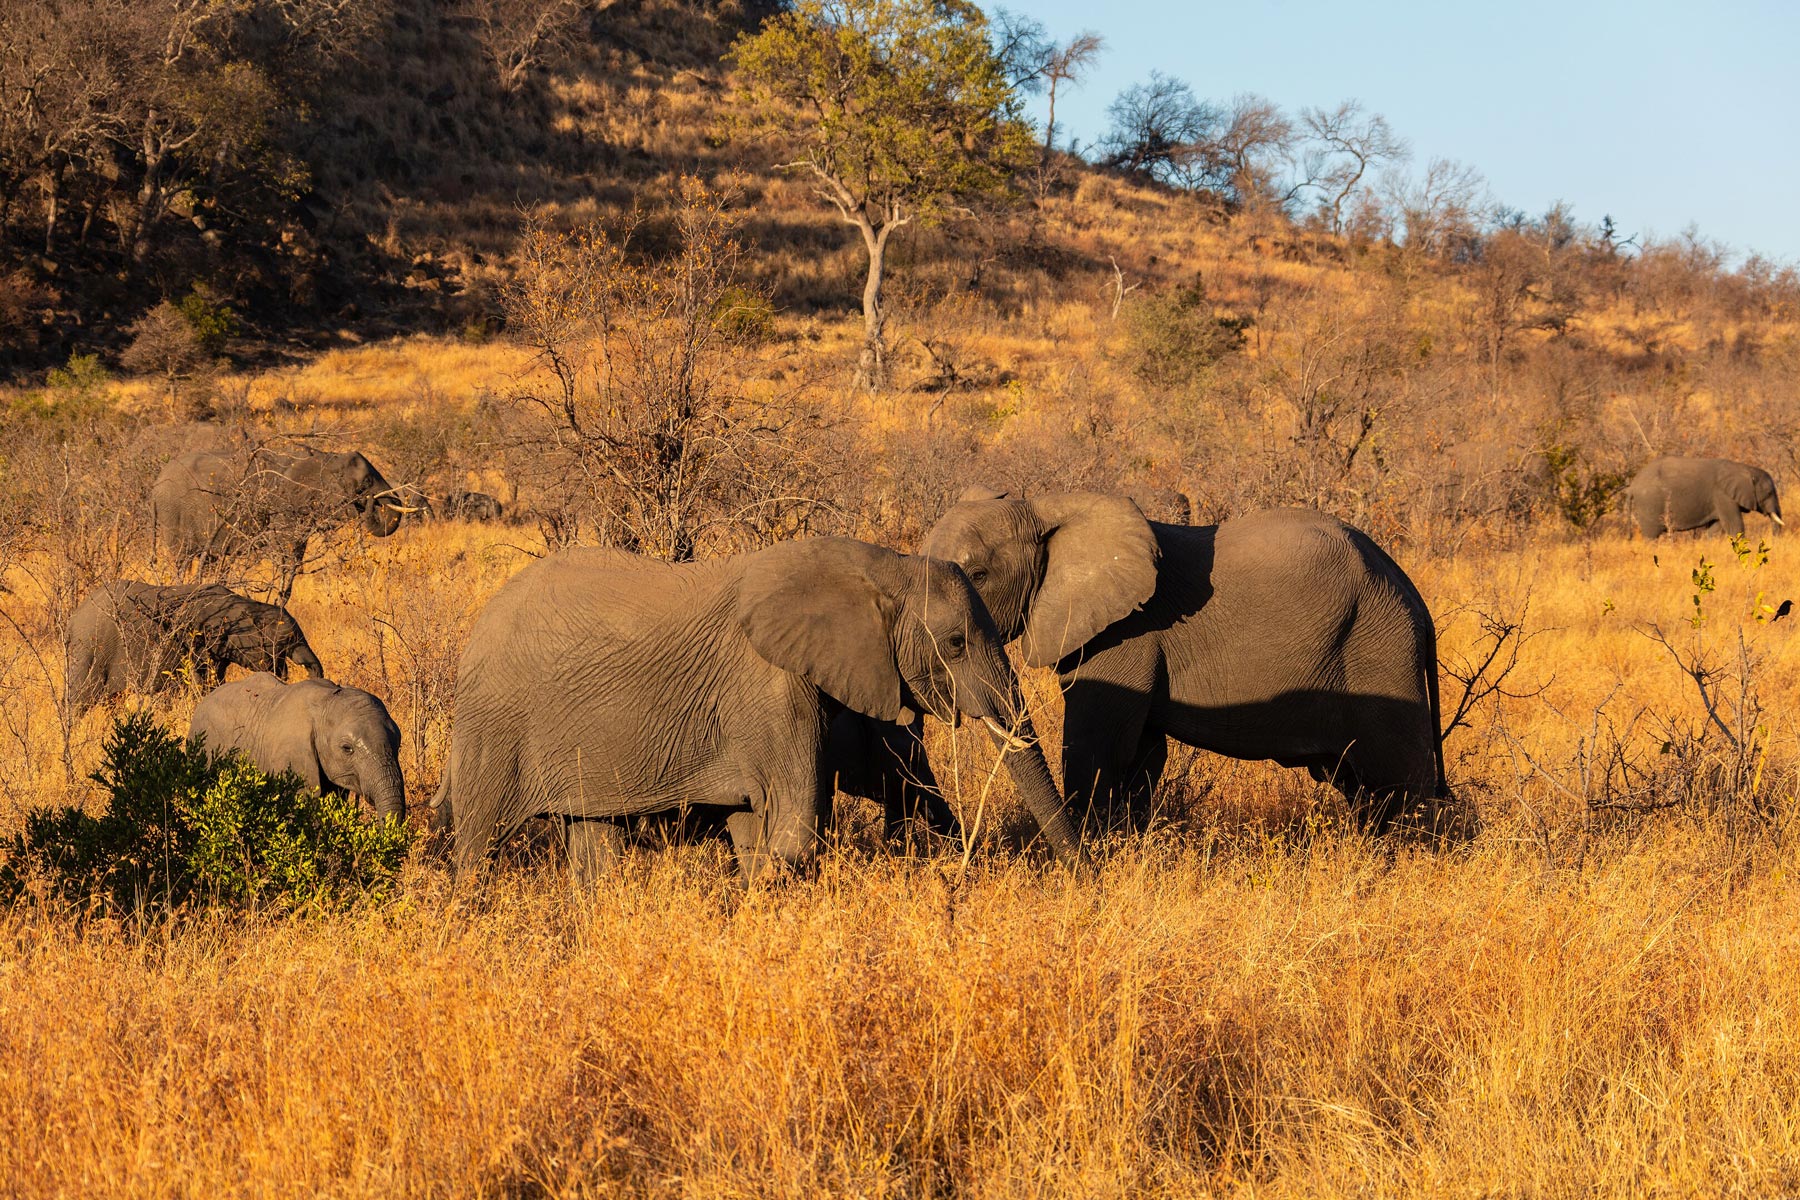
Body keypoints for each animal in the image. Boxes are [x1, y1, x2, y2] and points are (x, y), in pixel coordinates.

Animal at [65, 581, 323, 713]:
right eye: (287, 642)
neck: (245, 605)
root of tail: (74, 617)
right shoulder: (198, 640)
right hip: (88, 650)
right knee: (80, 699)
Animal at [151, 445, 411, 599]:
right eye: (366, 482)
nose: (371, 502)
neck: (326, 458)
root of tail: (156, 483)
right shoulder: (284, 507)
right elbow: (287, 551)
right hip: (172, 514)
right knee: (181, 560)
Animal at [432, 536, 1076, 881]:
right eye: (956, 643)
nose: (1085, 873)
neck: (875, 565)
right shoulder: (769, 686)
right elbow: (796, 829)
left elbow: (757, 829)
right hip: (495, 727)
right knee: (479, 847)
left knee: (594, 841)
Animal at [922, 490, 1454, 838]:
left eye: (978, 575)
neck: (1044, 507)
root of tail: (1412, 592)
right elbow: (1141, 755)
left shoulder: (1126, 634)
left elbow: (1097, 747)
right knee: (1359, 783)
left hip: (1379, 649)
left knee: (1398, 781)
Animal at [1626, 457, 1782, 538]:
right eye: (1769, 493)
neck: (1744, 469)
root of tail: (1633, 485)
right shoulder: (1723, 495)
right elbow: (1734, 525)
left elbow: (1716, 527)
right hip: (1648, 504)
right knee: (1651, 535)